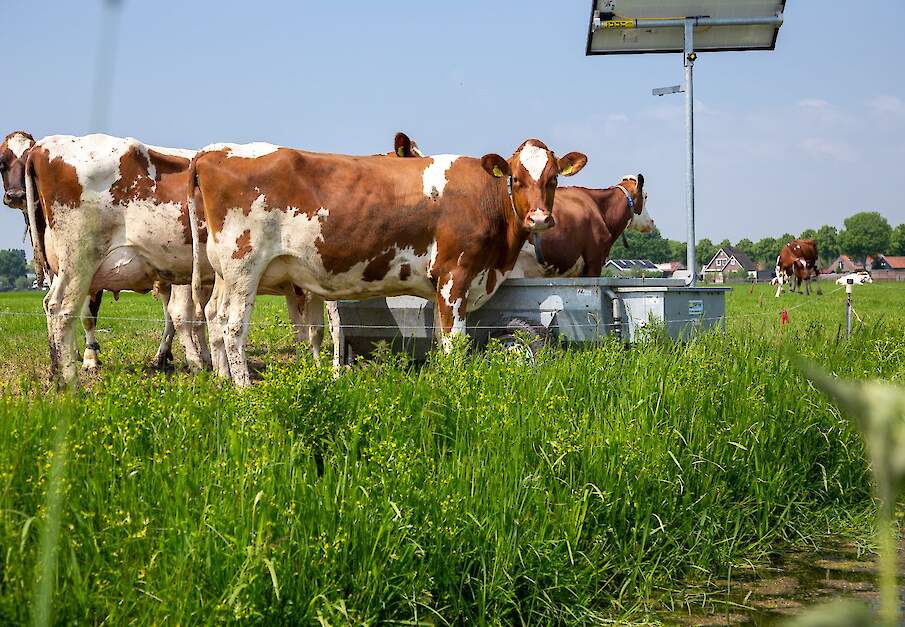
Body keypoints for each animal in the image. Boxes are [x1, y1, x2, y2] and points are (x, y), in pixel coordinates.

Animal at [189, 139, 588, 386]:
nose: (540, 218)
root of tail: (213, 153)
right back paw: (244, 389)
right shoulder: (455, 276)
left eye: (553, 179)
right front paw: (457, 386)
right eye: (516, 179)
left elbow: (440, 339)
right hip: (245, 267)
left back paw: (222, 381)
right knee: (233, 327)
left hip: (224, 273)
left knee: (214, 317)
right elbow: (453, 342)